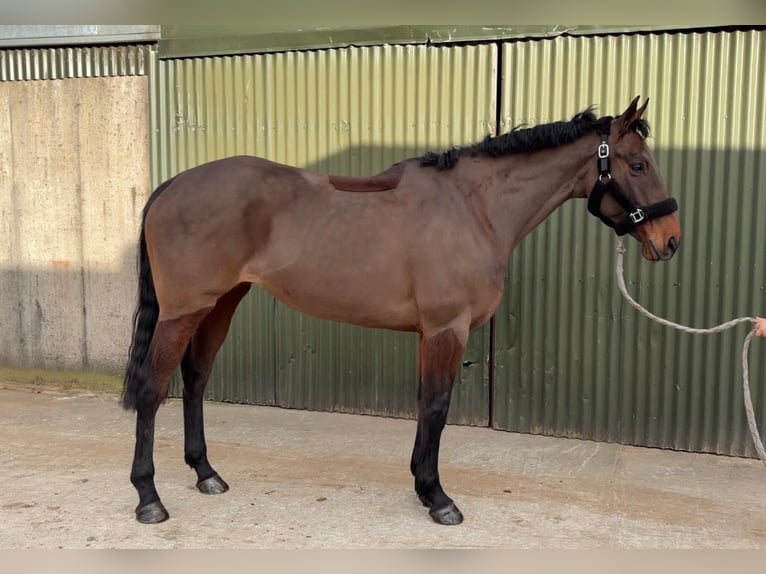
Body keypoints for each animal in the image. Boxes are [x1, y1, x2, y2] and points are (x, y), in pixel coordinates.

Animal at [121, 96, 680, 526]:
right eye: (637, 165)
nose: (670, 240)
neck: (473, 208)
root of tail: (173, 185)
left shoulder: (428, 334)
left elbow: (424, 404)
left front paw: (421, 484)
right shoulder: (447, 329)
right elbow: (436, 406)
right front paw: (438, 498)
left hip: (220, 304)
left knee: (195, 380)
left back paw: (206, 474)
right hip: (182, 311)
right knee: (152, 389)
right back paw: (149, 499)